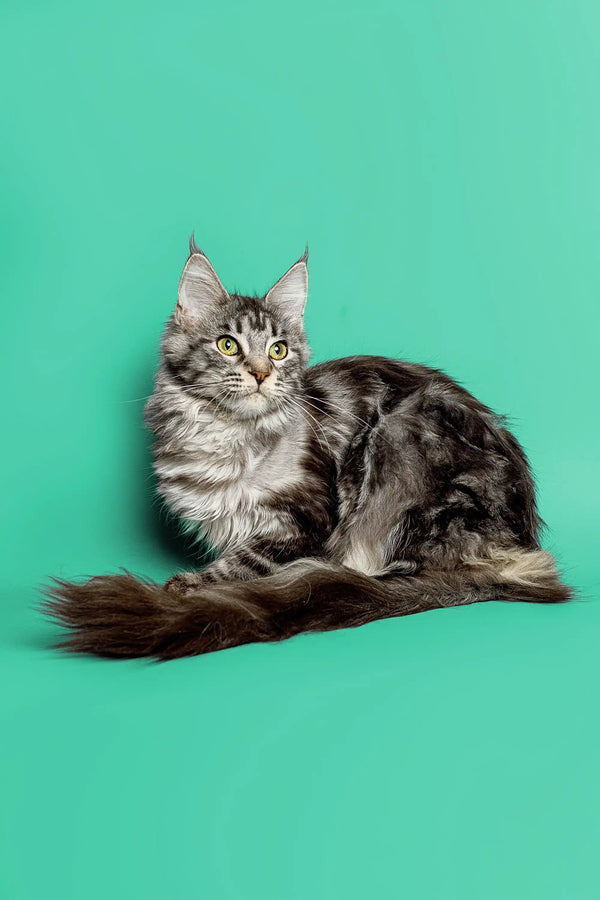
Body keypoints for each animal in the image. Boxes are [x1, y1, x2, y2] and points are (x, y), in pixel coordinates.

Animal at [44, 237, 568, 660]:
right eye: (228, 345)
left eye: (278, 350)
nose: (261, 374)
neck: (227, 435)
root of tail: (522, 547)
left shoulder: (305, 520)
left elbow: (242, 563)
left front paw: (188, 587)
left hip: (398, 438)